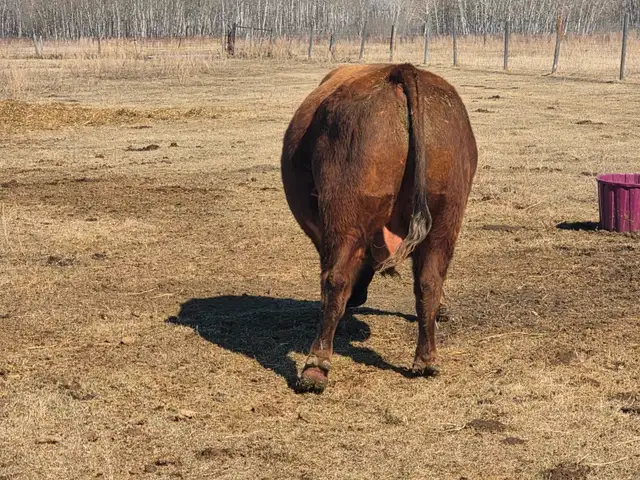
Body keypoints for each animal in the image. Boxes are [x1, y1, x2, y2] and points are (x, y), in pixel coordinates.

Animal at [281, 63, 477, 393]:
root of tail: (400, 71)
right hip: (445, 217)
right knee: (429, 281)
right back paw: (426, 359)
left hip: (345, 217)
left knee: (335, 279)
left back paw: (315, 367)